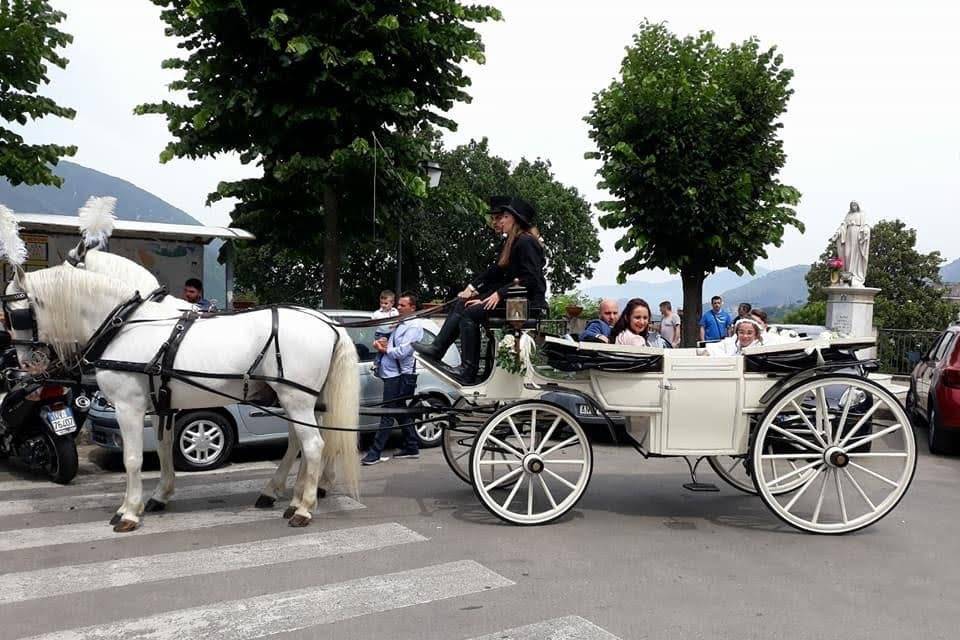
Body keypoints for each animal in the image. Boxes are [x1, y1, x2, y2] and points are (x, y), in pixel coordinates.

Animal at [5, 262, 358, 532]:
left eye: (12, 313)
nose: (23, 363)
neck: (125, 325)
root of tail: (329, 322)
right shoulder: (163, 405)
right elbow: (162, 450)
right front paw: (158, 496)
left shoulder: (129, 407)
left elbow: (132, 459)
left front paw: (128, 512)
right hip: (293, 398)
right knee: (298, 443)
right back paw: (285, 496)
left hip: (296, 398)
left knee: (313, 446)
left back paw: (303, 509)